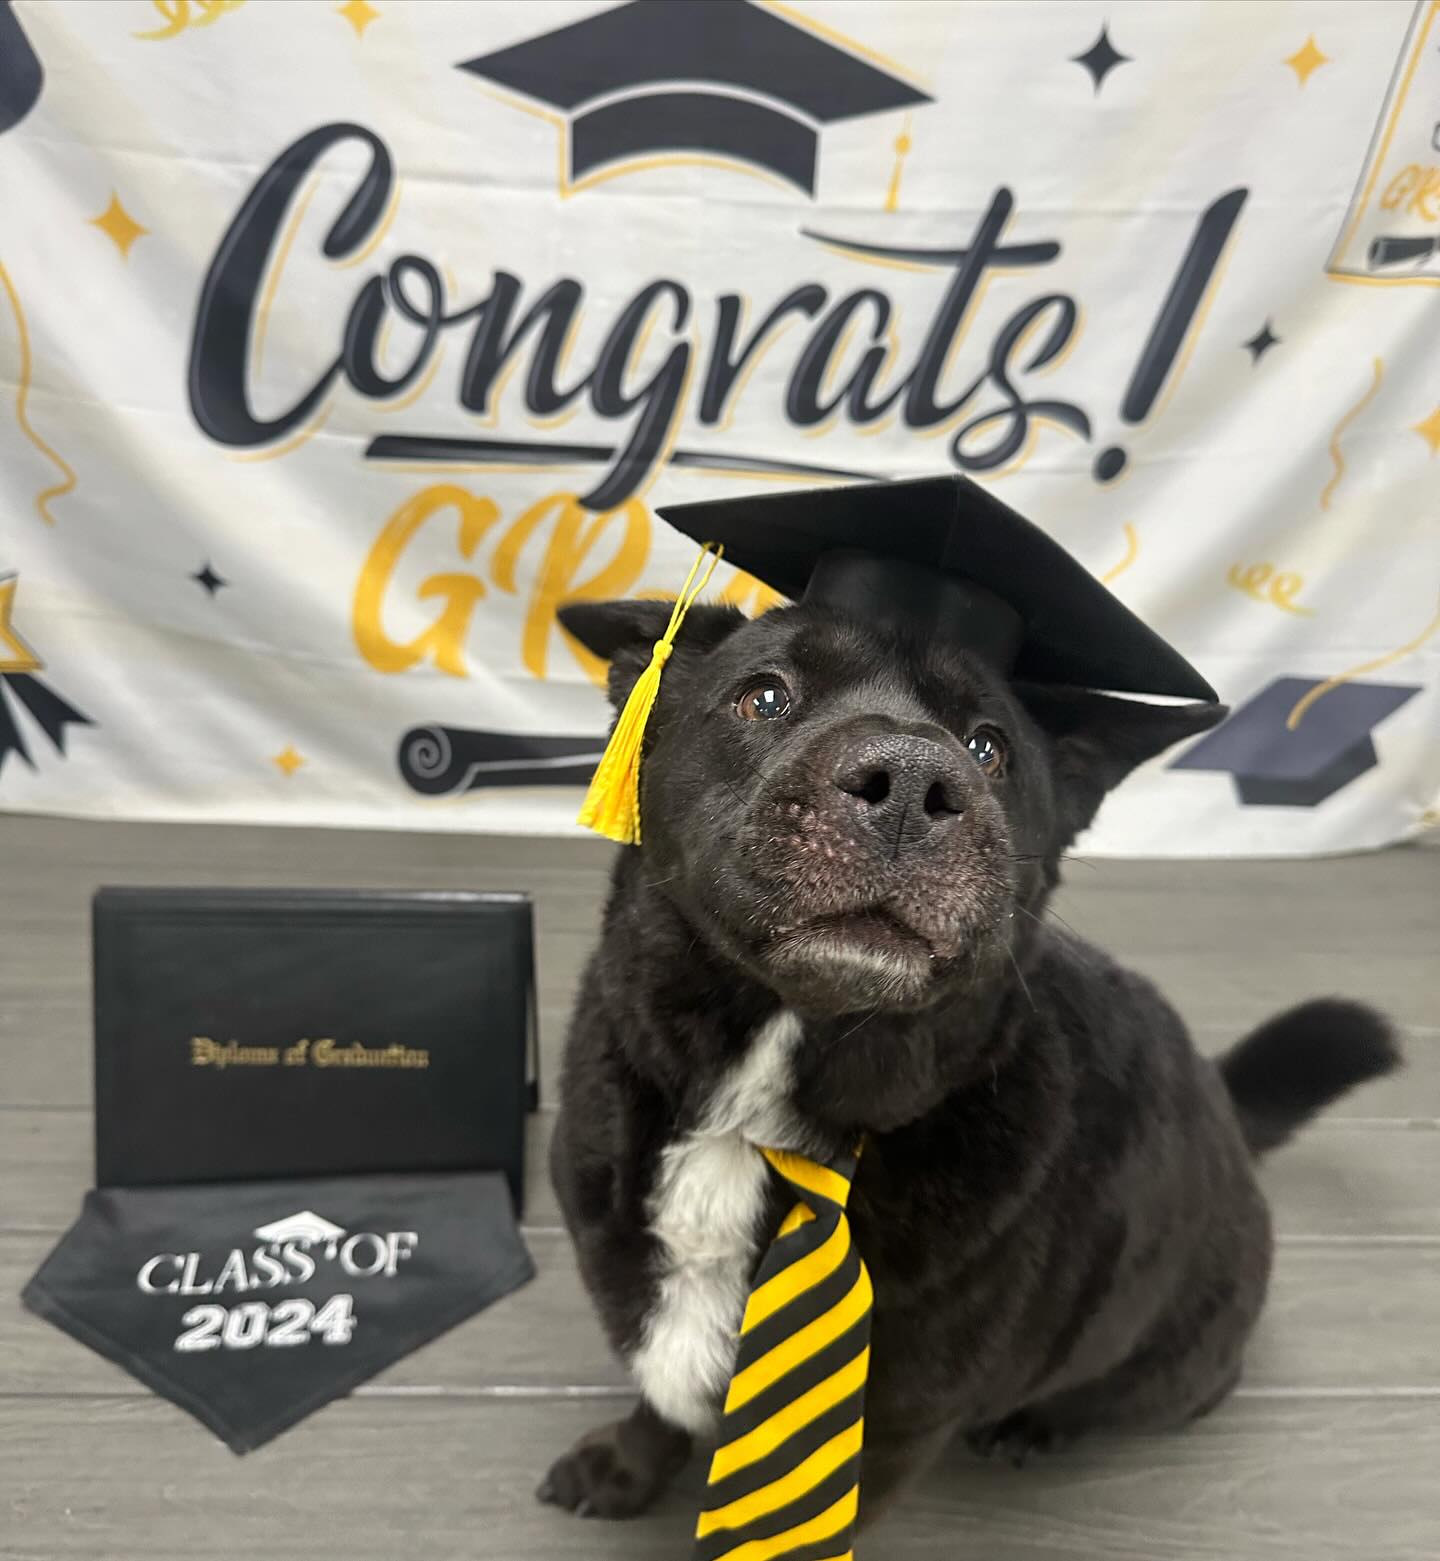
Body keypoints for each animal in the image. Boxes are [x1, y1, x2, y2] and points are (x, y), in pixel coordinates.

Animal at [537, 591, 1399, 1528]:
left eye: (990, 747)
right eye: (764, 696)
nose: (914, 782)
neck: (752, 1122)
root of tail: (1225, 1108)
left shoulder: (881, 1433)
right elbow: (657, 1402)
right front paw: (624, 1466)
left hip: (1170, 1362)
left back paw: (1034, 1424)